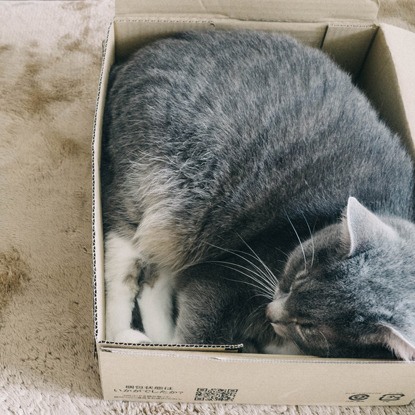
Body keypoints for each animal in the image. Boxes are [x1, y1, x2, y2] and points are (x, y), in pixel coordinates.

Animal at [101, 30, 415, 360]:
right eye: (299, 273)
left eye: (310, 327)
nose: (271, 312)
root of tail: (142, 55)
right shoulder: (225, 273)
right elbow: (200, 337)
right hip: (157, 190)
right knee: (122, 268)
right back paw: (119, 333)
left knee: (155, 278)